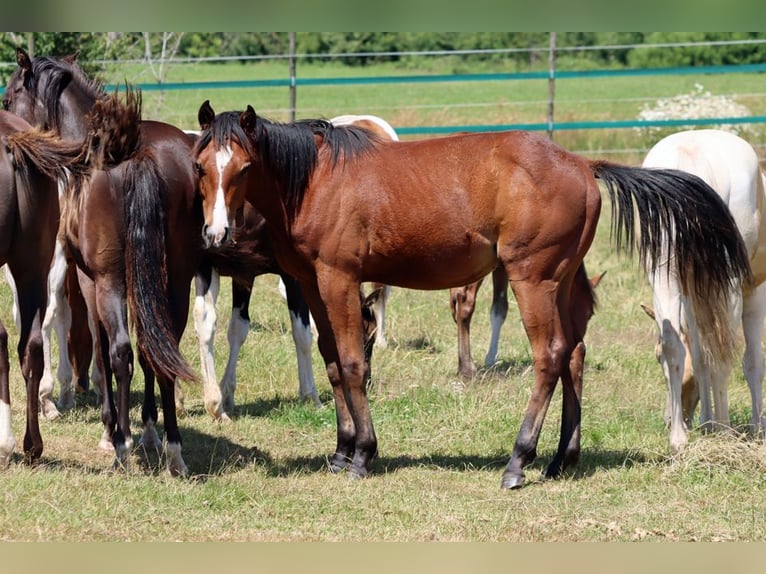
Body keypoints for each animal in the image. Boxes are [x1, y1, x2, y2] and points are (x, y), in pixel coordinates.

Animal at [192, 101, 751, 489]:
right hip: (564, 279)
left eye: (244, 168)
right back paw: (561, 458)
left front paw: (363, 453)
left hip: (532, 279)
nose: (216, 234)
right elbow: (331, 364)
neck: (316, 178)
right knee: (574, 352)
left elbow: (351, 365)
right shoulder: (310, 283)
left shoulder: (339, 280)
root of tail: (581, 163)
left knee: (549, 356)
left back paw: (518, 460)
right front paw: (340, 449)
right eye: (200, 168)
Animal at [641, 129, 766, 453]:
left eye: (654, 358)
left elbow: (699, 360)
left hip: (666, 280)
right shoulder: (753, 293)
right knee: (722, 357)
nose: (667, 419)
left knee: (677, 346)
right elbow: (752, 362)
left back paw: (680, 438)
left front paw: (705, 423)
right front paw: (756, 428)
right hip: (728, 287)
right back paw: (723, 430)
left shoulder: (694, 297)